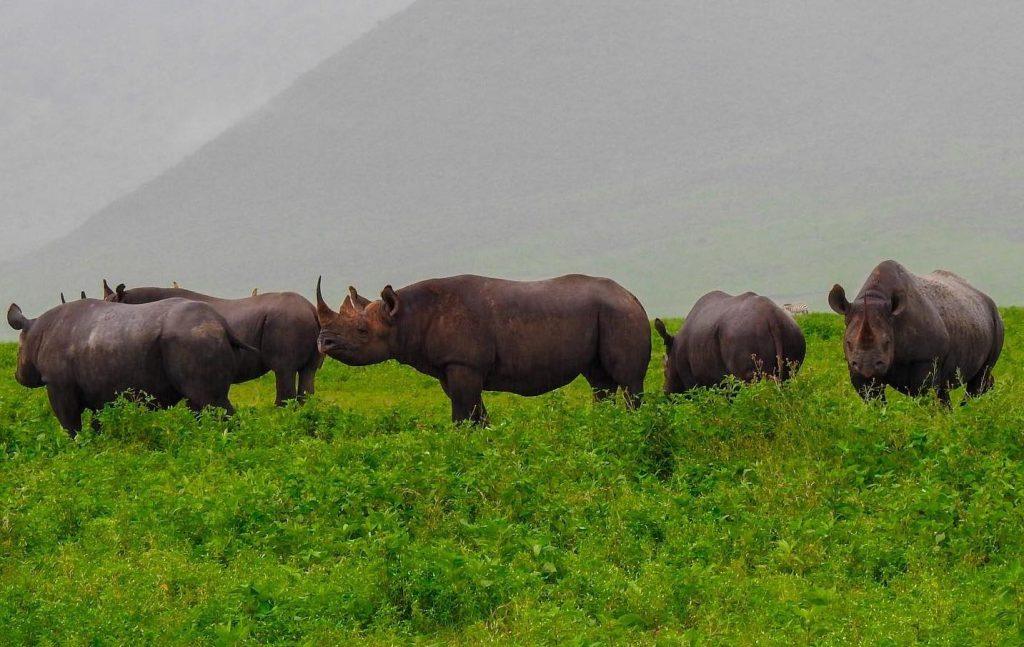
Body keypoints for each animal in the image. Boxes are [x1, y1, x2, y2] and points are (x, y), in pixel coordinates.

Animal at [7, 298, 254, 436]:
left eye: (18, 353)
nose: (18, 376)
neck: (36, 330)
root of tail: (221, 324)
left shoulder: (58, 383)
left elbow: (69, 423)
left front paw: (76, 448)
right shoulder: (97, 387)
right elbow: (97, 421)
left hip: (194, 338)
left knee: (211, 401)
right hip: (200, 335)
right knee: (200, 404)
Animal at [315, 274, 651, 424]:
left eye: (362, 331)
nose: (323, 342)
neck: (405, 316)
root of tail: (632, 295)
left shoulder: (464, 363)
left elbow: (463, 412)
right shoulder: (450, 367)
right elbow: (473, 410)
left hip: (621, 315)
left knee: (629, 382)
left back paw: (631, 426)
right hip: (606, 314)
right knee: (599, 381)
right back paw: (602, 424)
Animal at [654, 291, 805, 393]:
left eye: (665, 370)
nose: (666, 392)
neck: (673, 347)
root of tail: (772, 317)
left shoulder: (691, 379)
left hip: (743, 335)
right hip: (792, 330)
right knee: (788, 376)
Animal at [828, 260, 1003, 403]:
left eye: (887, 342)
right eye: (848, 343)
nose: (867, 367)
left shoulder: (926, 359)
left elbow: (924, 394)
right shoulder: (854, 366)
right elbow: (873, 399)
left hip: (996, 321)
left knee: (978, 378)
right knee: (944, 388)